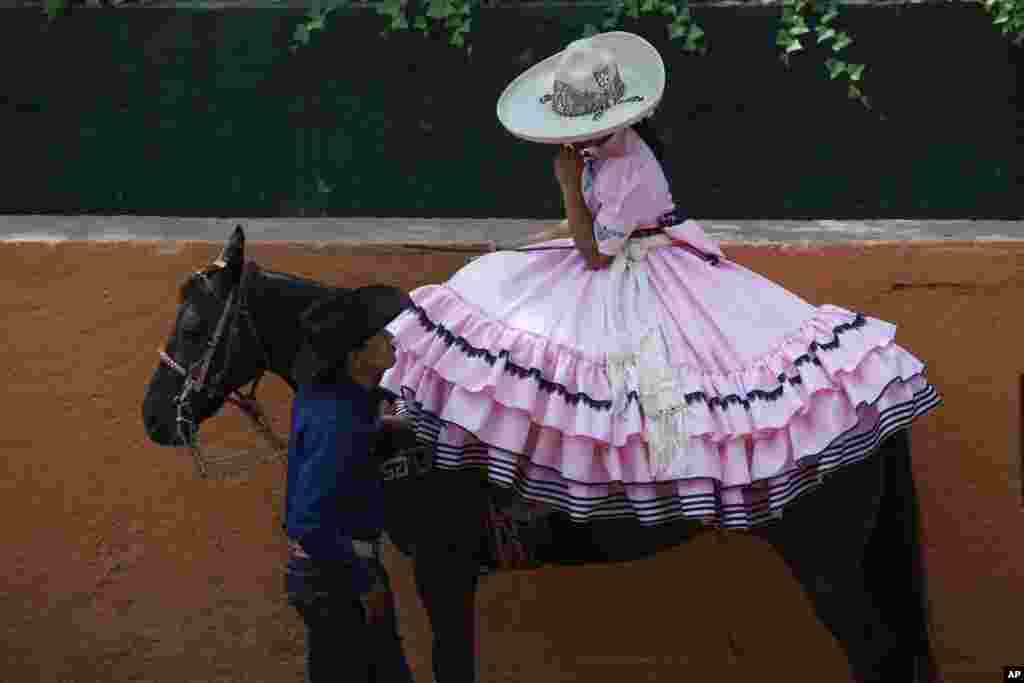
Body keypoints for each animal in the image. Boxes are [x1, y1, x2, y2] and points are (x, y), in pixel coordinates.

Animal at [142, 229, 937, 683]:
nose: (154, 416)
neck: (384, 385)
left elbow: (452, 667)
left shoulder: (443, 566)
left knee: (877, 657)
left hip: (828, 559)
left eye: (193, 327)